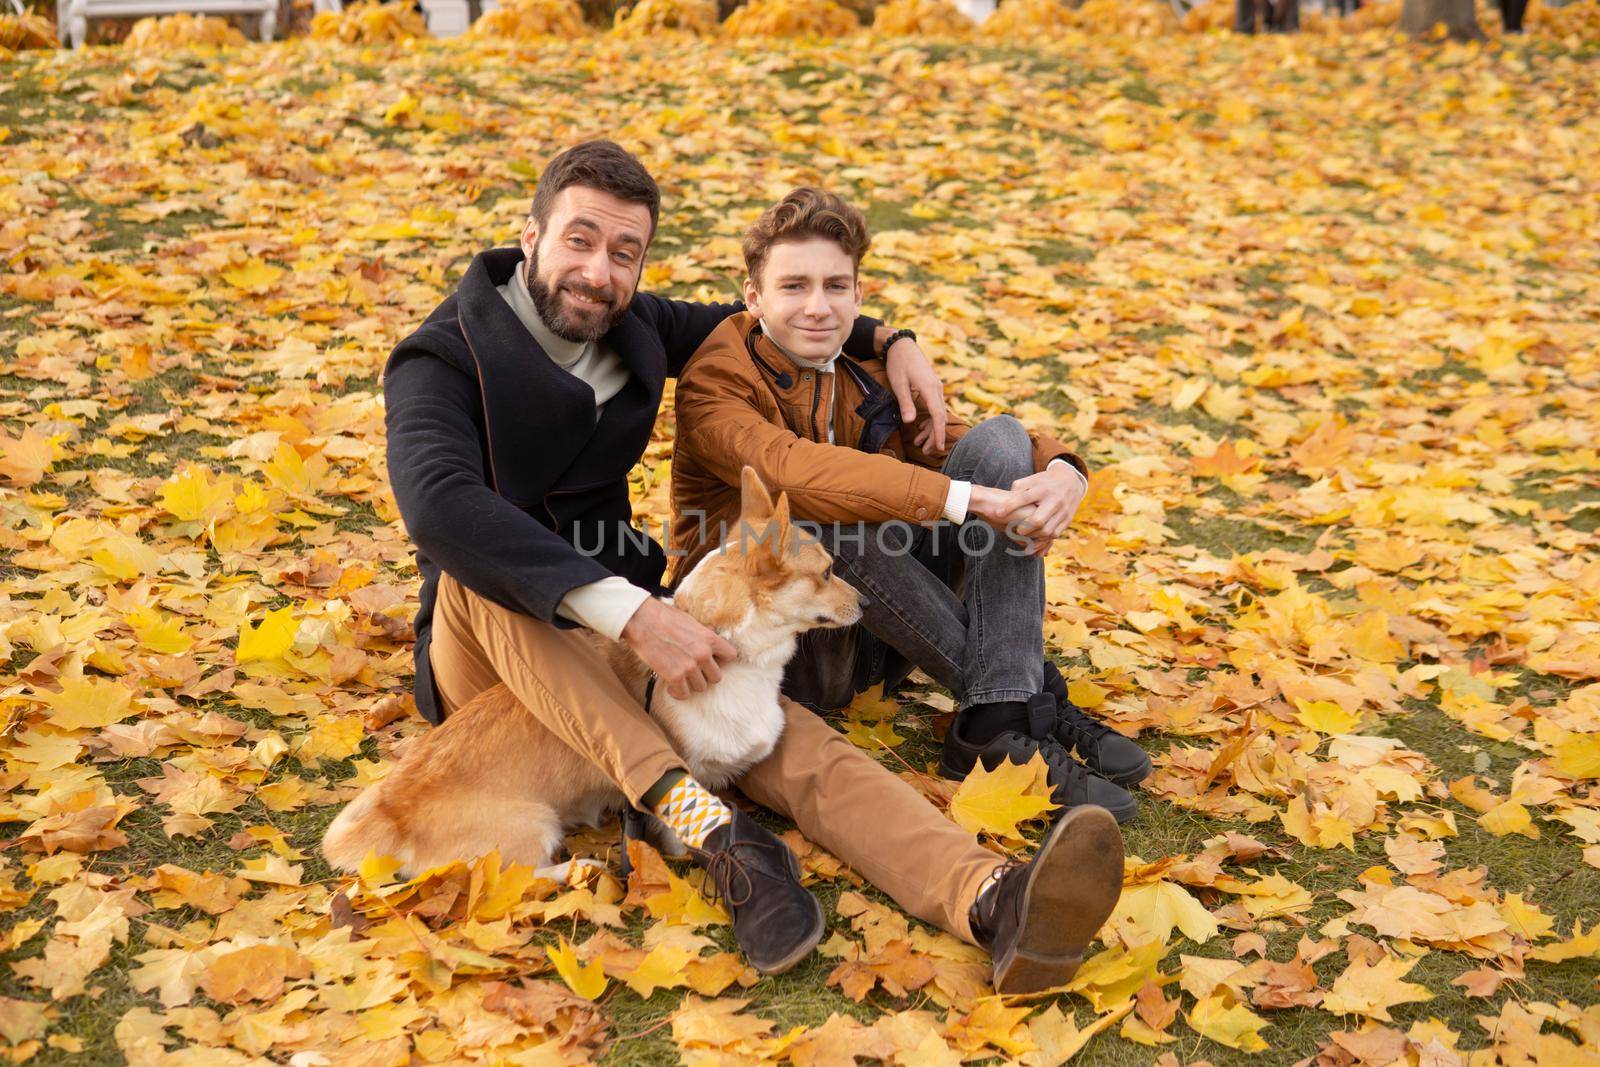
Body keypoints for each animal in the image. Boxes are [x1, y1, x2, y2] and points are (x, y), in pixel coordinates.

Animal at [321, 470, 864, 883]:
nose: (865, 603)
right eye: (828, 572)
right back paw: (577, 870)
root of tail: (392, 815)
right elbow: (677, 828)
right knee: (508, 877)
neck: (733, 652)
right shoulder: (684, 769)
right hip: (534, 824)